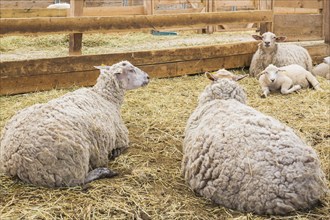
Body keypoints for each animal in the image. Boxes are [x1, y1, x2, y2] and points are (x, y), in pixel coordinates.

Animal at [0, 60, 150, 187]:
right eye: (131, 69)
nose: (148, 77)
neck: (106, 98)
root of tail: (13, 160)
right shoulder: (121, 137)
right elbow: (123, 146)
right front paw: (114, 152)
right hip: (71, 163)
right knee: (78, 181)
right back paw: (104, 171)